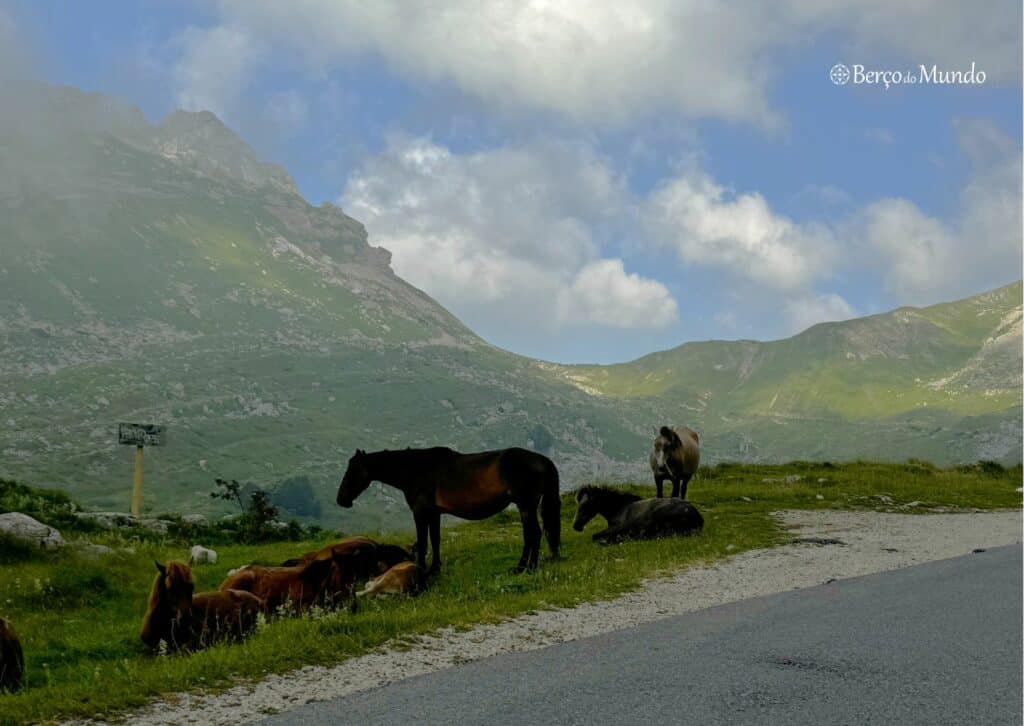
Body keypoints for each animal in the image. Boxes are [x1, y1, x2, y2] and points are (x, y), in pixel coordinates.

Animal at [335, 444, 561, 573]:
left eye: (353, 471)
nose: (341, 500)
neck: (415, 470)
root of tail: (542, 460)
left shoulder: (420, 512)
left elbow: (423, 543)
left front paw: (422, 570)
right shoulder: (434, 513)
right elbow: (435, 540)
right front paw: (435, 568)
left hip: (526, 505)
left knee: (534, 534)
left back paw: (526, 567)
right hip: (526, 507)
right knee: (532, 534)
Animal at [569, 483, 704, 540]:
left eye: (586, 504)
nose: (576, 526)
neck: (620, 508)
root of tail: (696, 516)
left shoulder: (617, 528)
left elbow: (595, 536)